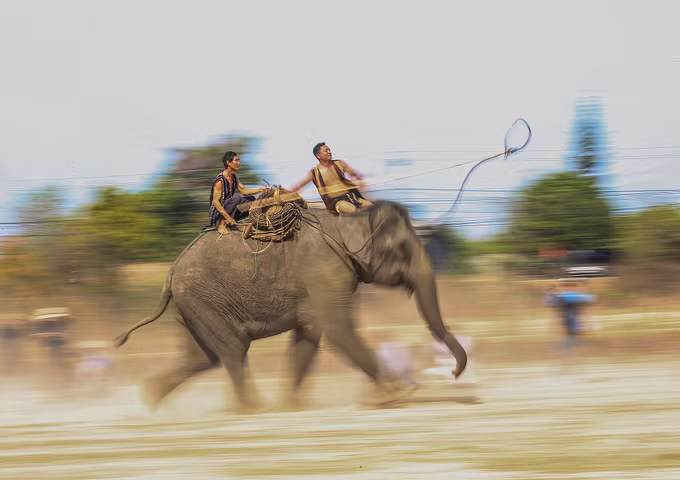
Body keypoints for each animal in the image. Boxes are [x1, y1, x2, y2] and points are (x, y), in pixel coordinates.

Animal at [115, 200, 467, 411]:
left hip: (192, 306)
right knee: (232, 350)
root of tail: (170, 272)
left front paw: (292, 407)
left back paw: (148, 400)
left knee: (203, 356)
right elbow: (337, 330)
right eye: (402, 248)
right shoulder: (326, 271)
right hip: (203, 300)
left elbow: (310, 333)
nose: (452, 372)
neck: (350, 220)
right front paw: (400, 394)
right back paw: (252, 410)